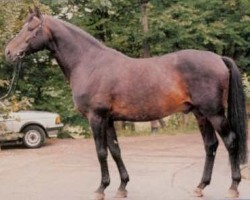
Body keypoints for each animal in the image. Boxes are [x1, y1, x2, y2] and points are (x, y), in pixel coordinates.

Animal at [4, 7, 247, 199]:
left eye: (30, 29)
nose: (8, 52)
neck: (90, 63)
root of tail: (218, 58)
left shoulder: (96, 117)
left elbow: (101, 152)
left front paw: (101, 189)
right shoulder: (109, 119)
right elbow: (115, 150)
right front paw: (122, 187)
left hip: (214, 113)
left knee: (231, 141)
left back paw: (233, 187)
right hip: (200, 114)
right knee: (211, 145)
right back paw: (200, 186)